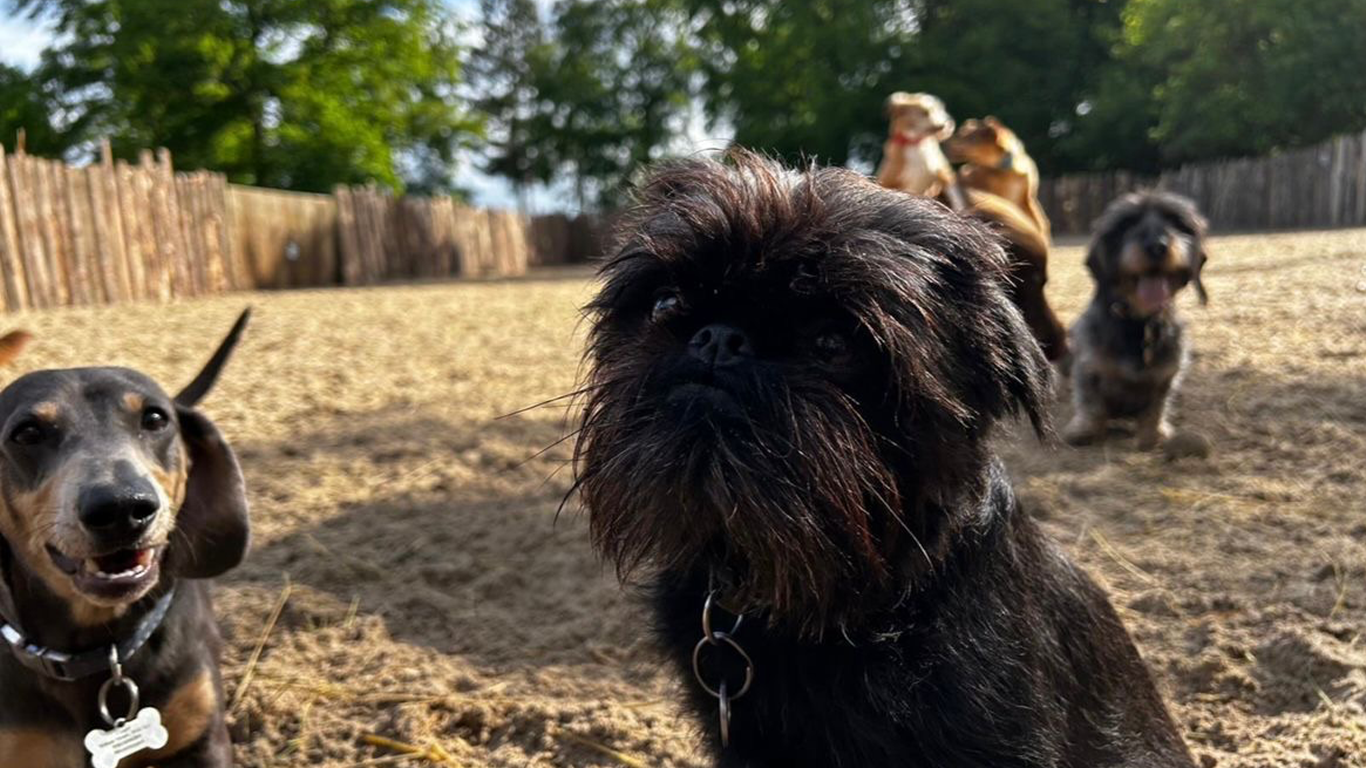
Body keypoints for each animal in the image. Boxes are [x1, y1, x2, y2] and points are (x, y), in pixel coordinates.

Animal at [1060, 189, 1213, 448]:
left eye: (1176, 222)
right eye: (1126, 224)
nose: (1157, 246)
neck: (1138, 323)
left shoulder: (1166, 374)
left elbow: (1156, 406)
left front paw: (1153, 433)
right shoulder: (1088, 368)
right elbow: (1091, 403)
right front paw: (1084, 429)